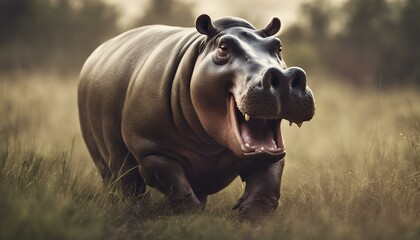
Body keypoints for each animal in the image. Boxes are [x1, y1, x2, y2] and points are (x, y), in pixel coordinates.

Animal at [78, 14, 316, 218]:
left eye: (278, 46)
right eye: (223, 47)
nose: (284, 78)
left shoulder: (270, 156)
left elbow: (267, 184)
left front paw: (250, 216)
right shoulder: (152, 151)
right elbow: (176, 185)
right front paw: (192, 217)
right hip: (106, 158)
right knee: (126, 184)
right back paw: (129, 210)